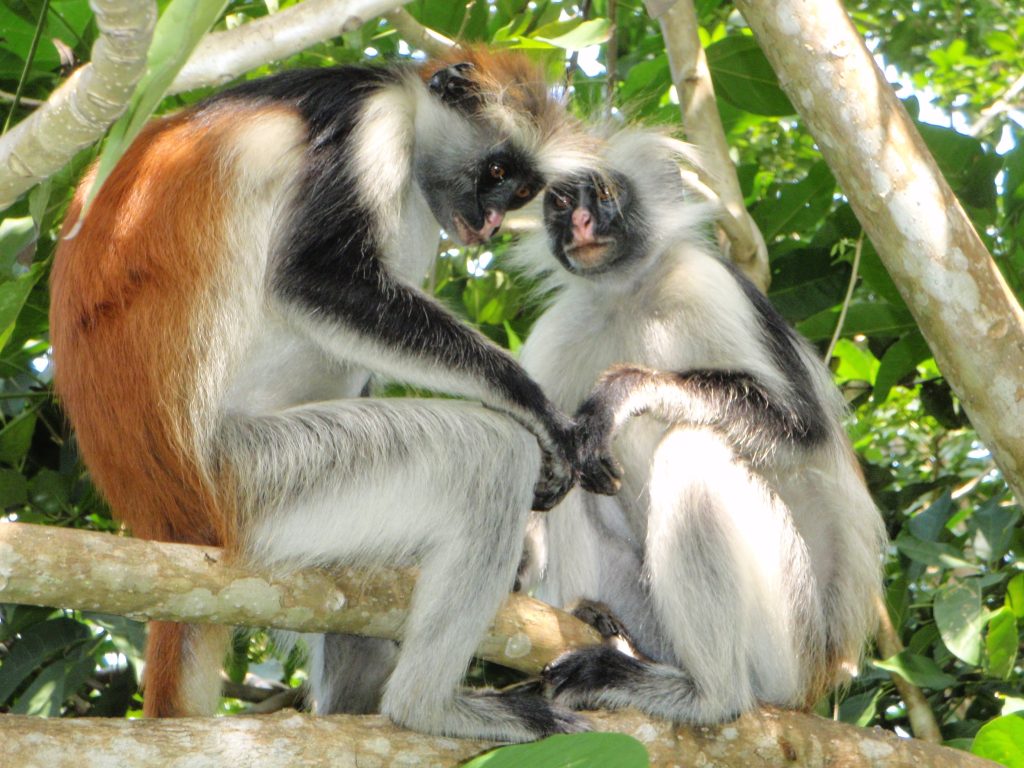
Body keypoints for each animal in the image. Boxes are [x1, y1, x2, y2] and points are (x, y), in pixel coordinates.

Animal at [49, 51, 598, 741]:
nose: (494, 221)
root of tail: (167, 517)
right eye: (496, 173)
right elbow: (317, 276)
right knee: (489, 456)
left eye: (521, 192)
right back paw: (426, 708)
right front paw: (536, 410)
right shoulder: (369, 121)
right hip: (261, 475)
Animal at [516, 132, 884, 729]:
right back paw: (599, 621)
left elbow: (802, 431)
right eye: (561, 204)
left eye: (605, 193)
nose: (581, 226)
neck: (629, 293)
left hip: (788, 637)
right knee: (574, 474)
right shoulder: (558, 330)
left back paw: (708, 694)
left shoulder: (706, 281)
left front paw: (626, 391)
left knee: (693, 449)